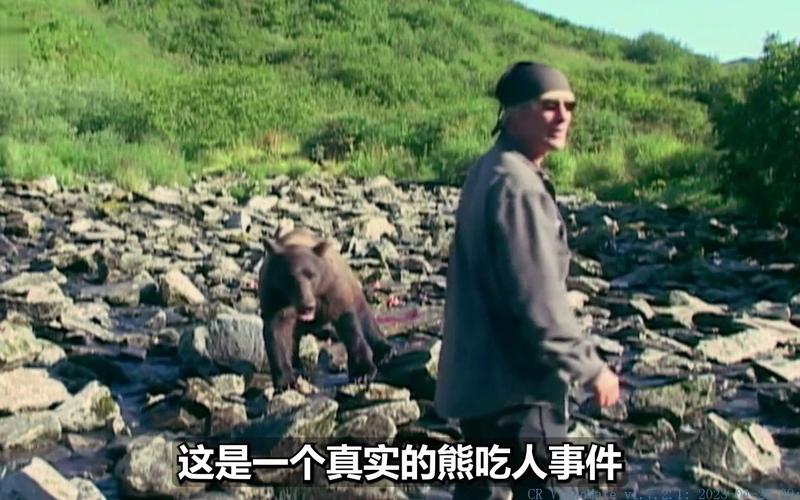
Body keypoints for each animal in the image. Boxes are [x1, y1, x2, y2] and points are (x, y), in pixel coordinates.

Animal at [258, 228, 396, 392]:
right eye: (289, 277)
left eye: (312, 275)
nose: (308, 305)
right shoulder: (275, 297)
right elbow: (277, 333)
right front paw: (286, 381)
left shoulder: (333, 291)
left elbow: (350, 325)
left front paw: (362, 372)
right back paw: (298, 365)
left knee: (365, 317)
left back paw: (385, 351)